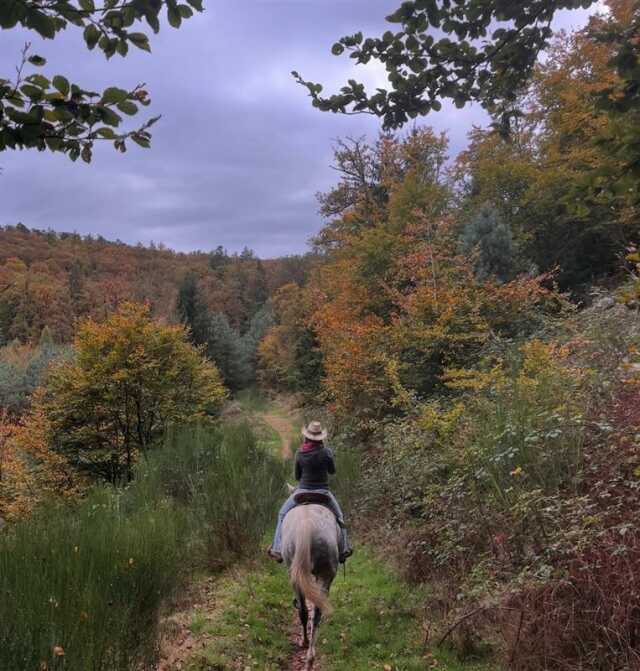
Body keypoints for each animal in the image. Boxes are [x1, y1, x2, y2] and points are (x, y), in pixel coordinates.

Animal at [281, 497, 340, 670]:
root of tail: (306, 526)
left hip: (296, 576)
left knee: (305, 611)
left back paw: (305, 644)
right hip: (324, 575)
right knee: (314, 613)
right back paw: (309, 659)